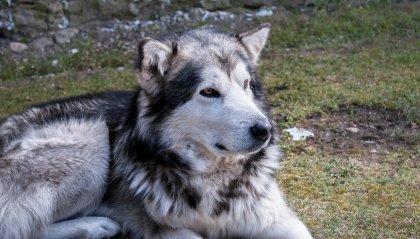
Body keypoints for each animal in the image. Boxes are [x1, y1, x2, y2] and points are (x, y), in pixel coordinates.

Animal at [0, 22, 312, 239]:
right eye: (209, 91)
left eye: (245, 84)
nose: (265, 130)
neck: (213, 180)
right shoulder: (165, 230)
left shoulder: (277, 218)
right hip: (93, 141)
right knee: (21, 229)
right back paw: (96, 226)